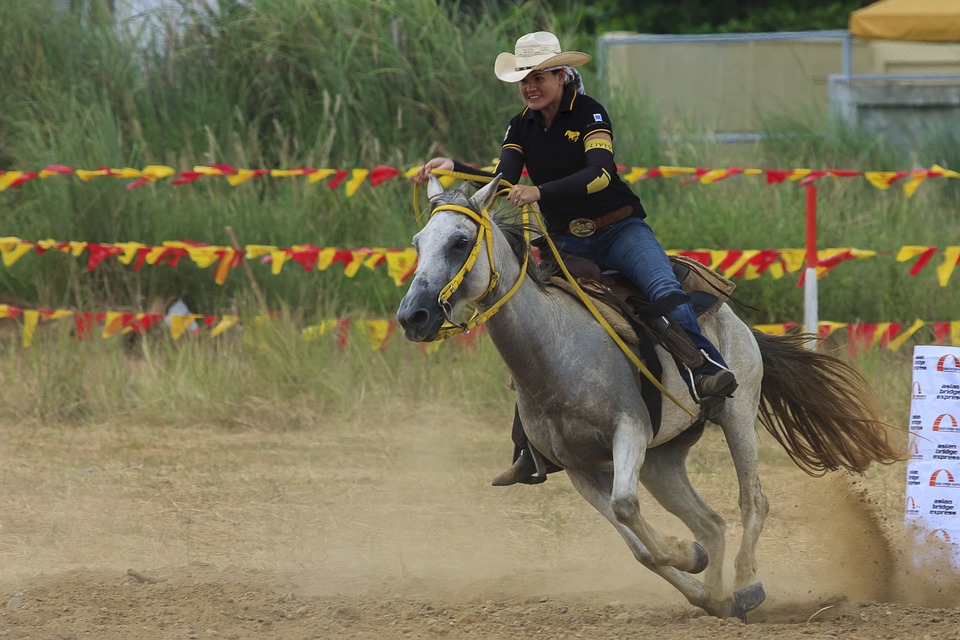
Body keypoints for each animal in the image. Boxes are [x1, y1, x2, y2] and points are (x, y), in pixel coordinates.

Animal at [394, 175, 904, 620]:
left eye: (460, 241)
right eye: (417, 243)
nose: (412, 316)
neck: (555, 348)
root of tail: (736, 320)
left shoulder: (630, 431)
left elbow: (627, 508)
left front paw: (691, 560)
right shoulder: (578, 468)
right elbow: (639, 548)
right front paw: (693, 568)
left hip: (737, 415)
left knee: (752, 501)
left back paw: (747, 586)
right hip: (664, 458)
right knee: (710, 522)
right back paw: (721, 596)